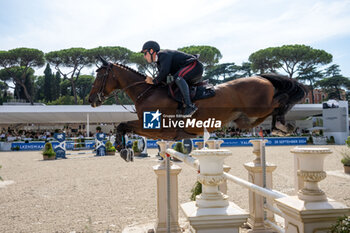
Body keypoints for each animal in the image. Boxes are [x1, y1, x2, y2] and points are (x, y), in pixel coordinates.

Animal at [88, 58, 306, 147]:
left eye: (99, 76)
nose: (90, 99)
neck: (146, 92)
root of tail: (262, 78)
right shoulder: (154, 131)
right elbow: (124, 126)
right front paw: (120, 146)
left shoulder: (159, 128)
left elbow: (122, 125)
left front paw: (120, 147)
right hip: (246, 118)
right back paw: (281, 127)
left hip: (258, 106)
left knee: (281, 100)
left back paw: (282, 125)